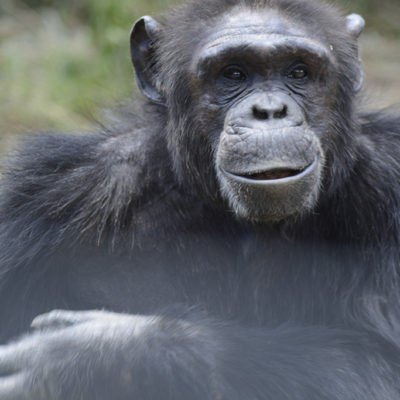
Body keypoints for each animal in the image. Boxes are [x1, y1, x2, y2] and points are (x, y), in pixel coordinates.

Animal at [0, 0, 400, 398]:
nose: (270, 110)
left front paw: (103, 355)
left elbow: (378, 369)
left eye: (299, 72)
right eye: (233, 74)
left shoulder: (389, 178)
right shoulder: (44, 196)